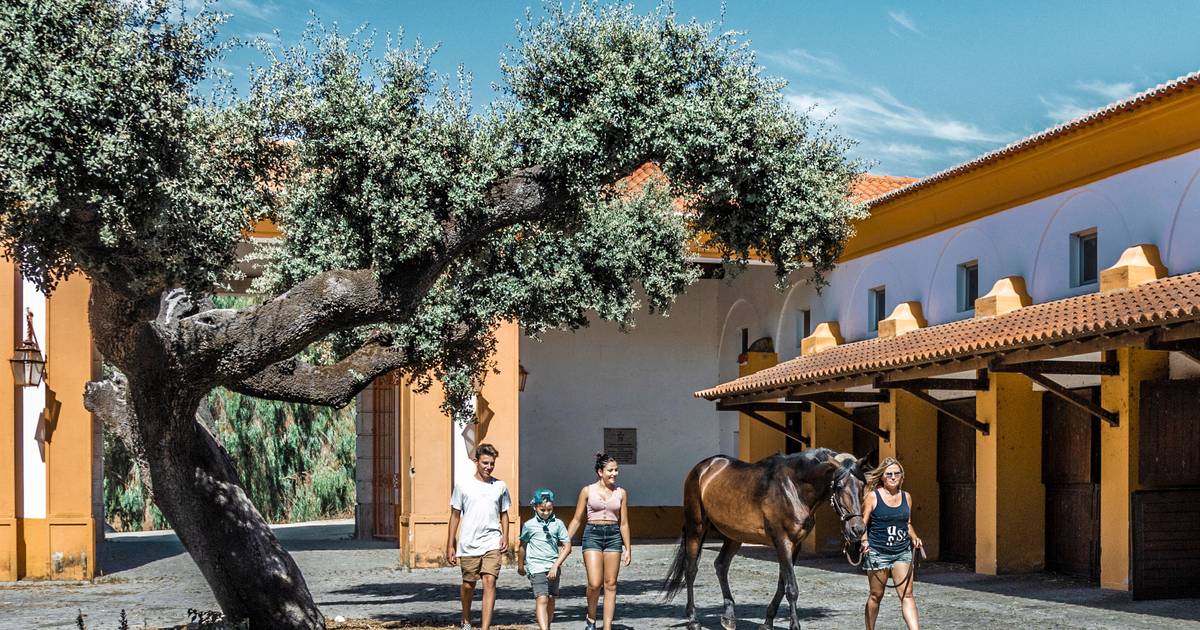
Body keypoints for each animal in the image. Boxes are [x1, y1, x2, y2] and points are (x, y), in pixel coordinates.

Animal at [663, 447, 868, 630]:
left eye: (862, 486)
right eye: (839, 486)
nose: (857, 529)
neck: (793, 488)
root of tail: (703, 467)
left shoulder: (796, 544)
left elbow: (782, 584)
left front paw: (767, 622)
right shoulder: (782, 541)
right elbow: (791, 587)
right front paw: (794, 625)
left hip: (734, 535)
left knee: (721, 565)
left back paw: (728, 617)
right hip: (696, 527)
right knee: (691, 570)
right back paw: (693, 620)